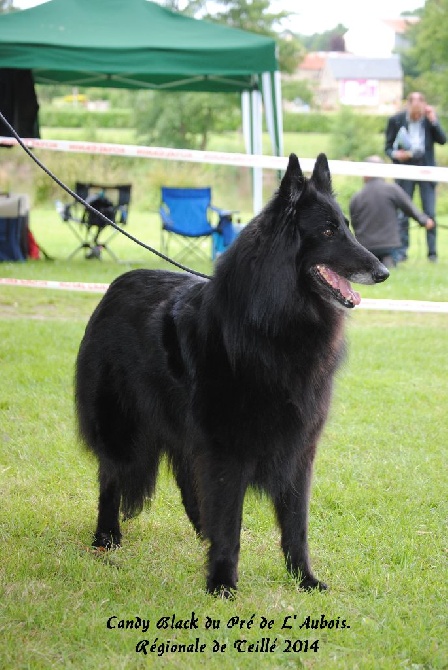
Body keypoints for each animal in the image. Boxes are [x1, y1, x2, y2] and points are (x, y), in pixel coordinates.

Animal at [76, 155, 388, 596]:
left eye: (348, 226)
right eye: (328, 231)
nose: (383, 271)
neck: (276, 324)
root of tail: (114, 287)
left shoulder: (298, 448)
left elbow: (296, 525)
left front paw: (304, 578)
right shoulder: (228, 448)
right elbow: (230, 520)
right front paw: (222, 583)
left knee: (186, 481)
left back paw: (198, 534)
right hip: (121, 425)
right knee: (110, 476)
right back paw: (106, 538)